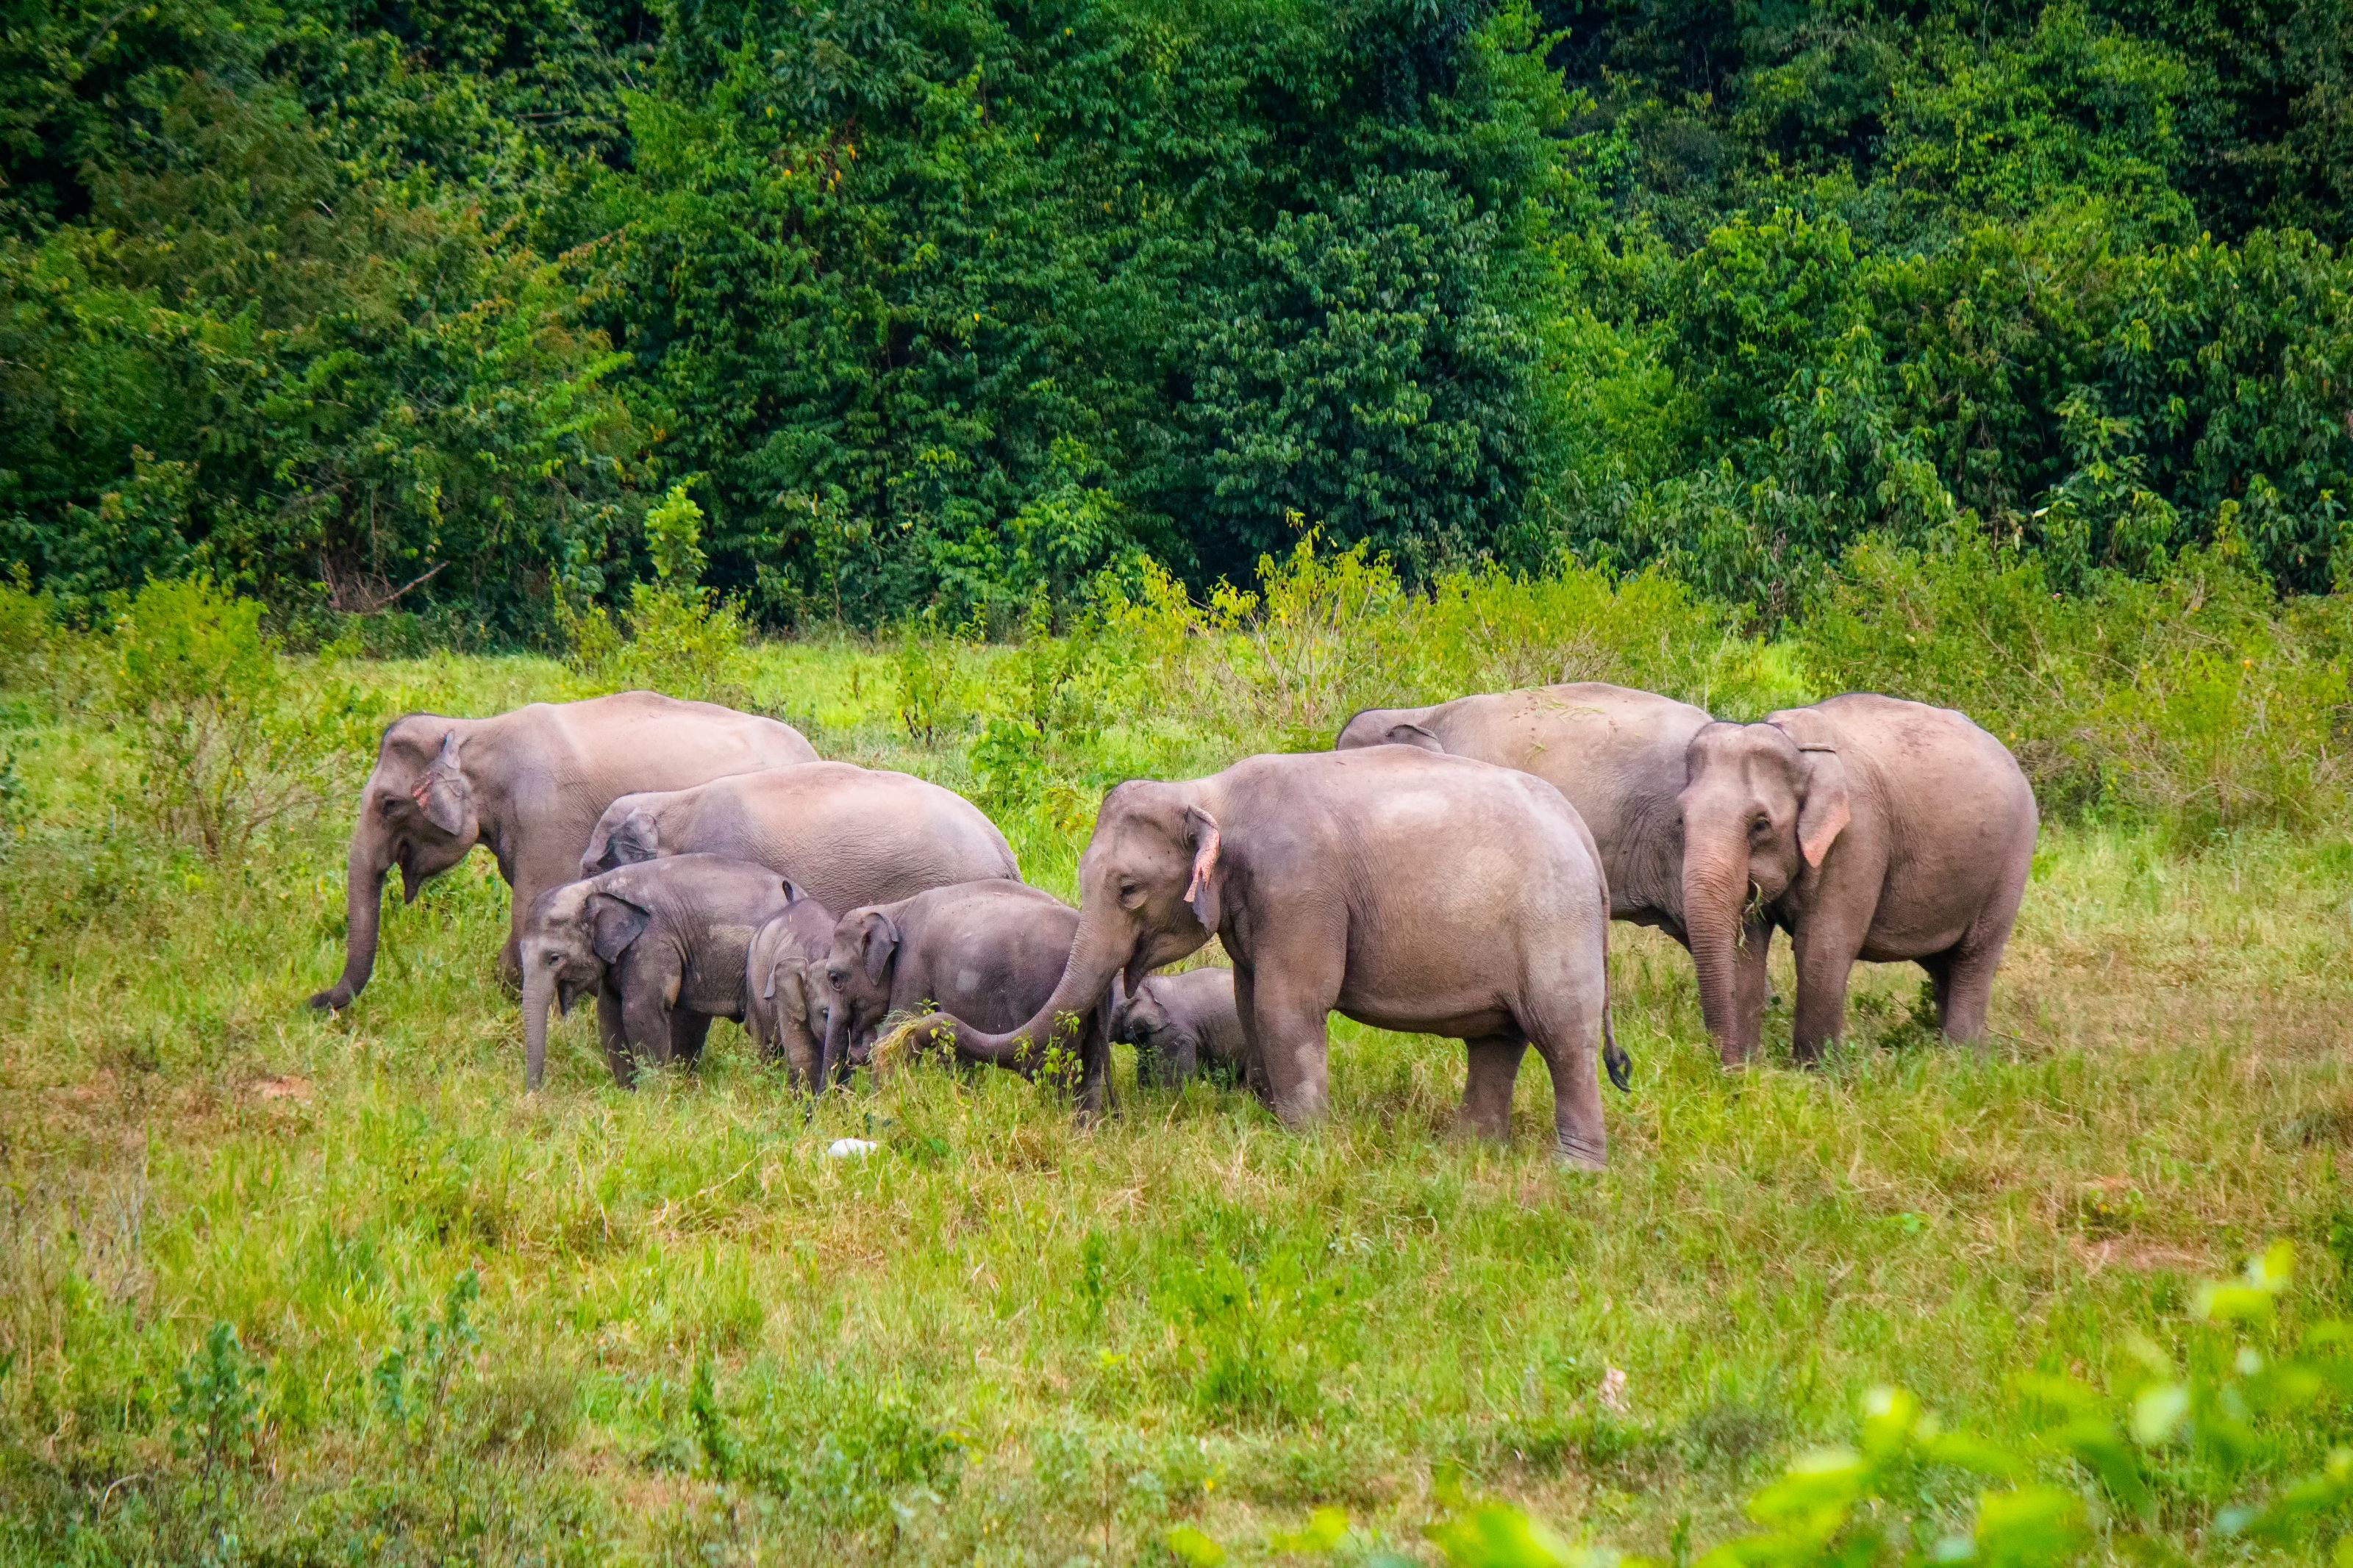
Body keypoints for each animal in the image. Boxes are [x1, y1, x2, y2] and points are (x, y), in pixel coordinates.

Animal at [520, 853, 800, 1089]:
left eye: (554, 959)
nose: (534, 1095)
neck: (598, 886)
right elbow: (609, 1013)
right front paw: (628, 1093)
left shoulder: (652, 941)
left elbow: (640, 1012)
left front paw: (654, 1095)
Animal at [816, 880, 1112, 1113]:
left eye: (834, 979)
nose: (821, 1114)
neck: (894, 910)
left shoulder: (913, 965)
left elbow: (896, 1035)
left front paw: (882, 1107)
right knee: (1091, 1069)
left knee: (1054, 1072)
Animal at [1677, 693, 2037, 1065]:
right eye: (1680, 819)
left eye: (1761, 824)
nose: (1728, 1067)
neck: (1797, 748)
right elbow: (1748, 947)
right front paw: (1750, 1066)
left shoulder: (1858, 834)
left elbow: (1822, 946)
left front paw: (1814, 1071)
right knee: (1942, 965)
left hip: (2013, 858)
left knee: (1974, 956)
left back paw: (1961, 1060)